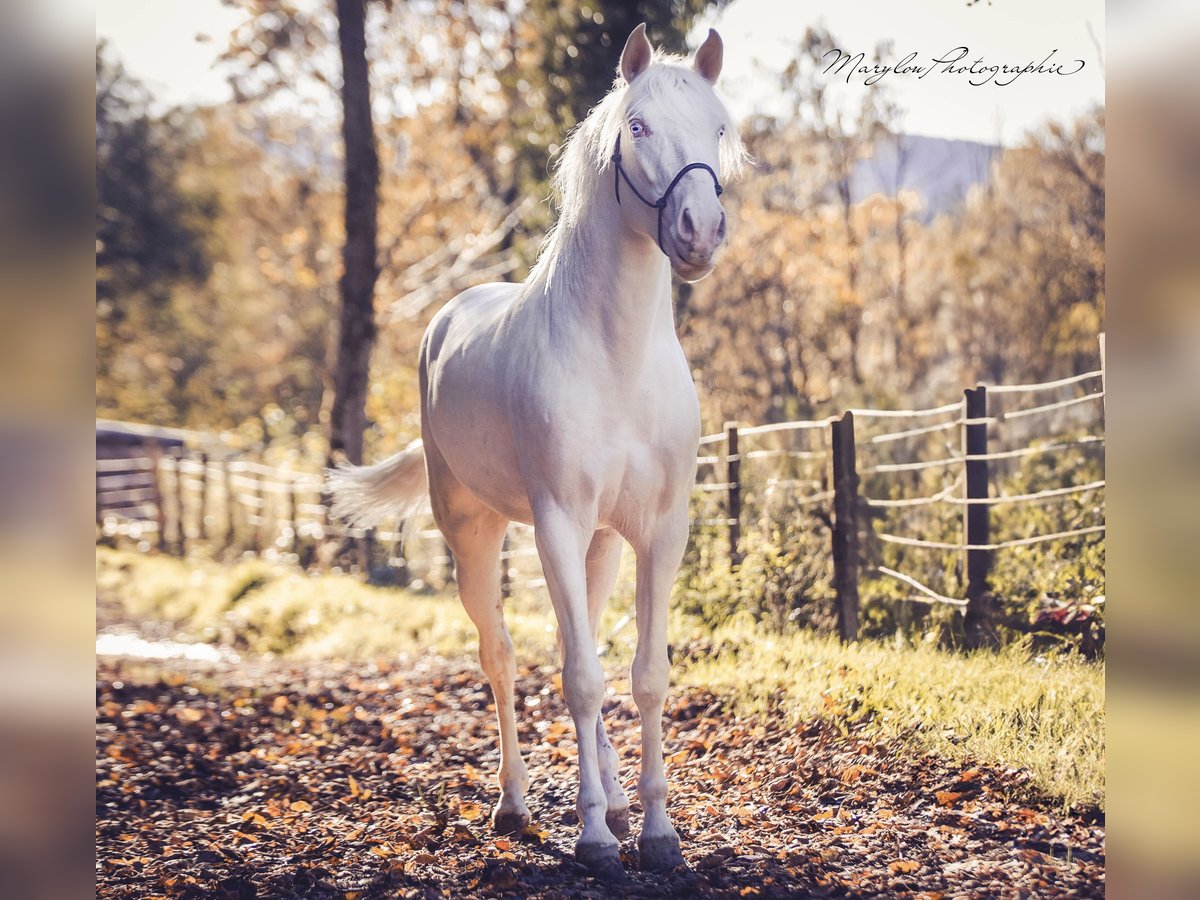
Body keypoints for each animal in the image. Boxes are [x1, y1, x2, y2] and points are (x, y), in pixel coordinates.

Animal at [328, 26, 739, 883]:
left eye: (718, 127)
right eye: (639, 126)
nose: (698, 231)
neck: (616, 356)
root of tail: (447, 316)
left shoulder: (658, 533)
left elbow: (644, 677)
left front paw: (655, 832)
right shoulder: (556, 521)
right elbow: (579, 680)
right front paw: (594, 842)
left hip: (600, 548)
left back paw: (611, 798)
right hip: (477, 538)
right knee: (503, 657)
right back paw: (515, 806)